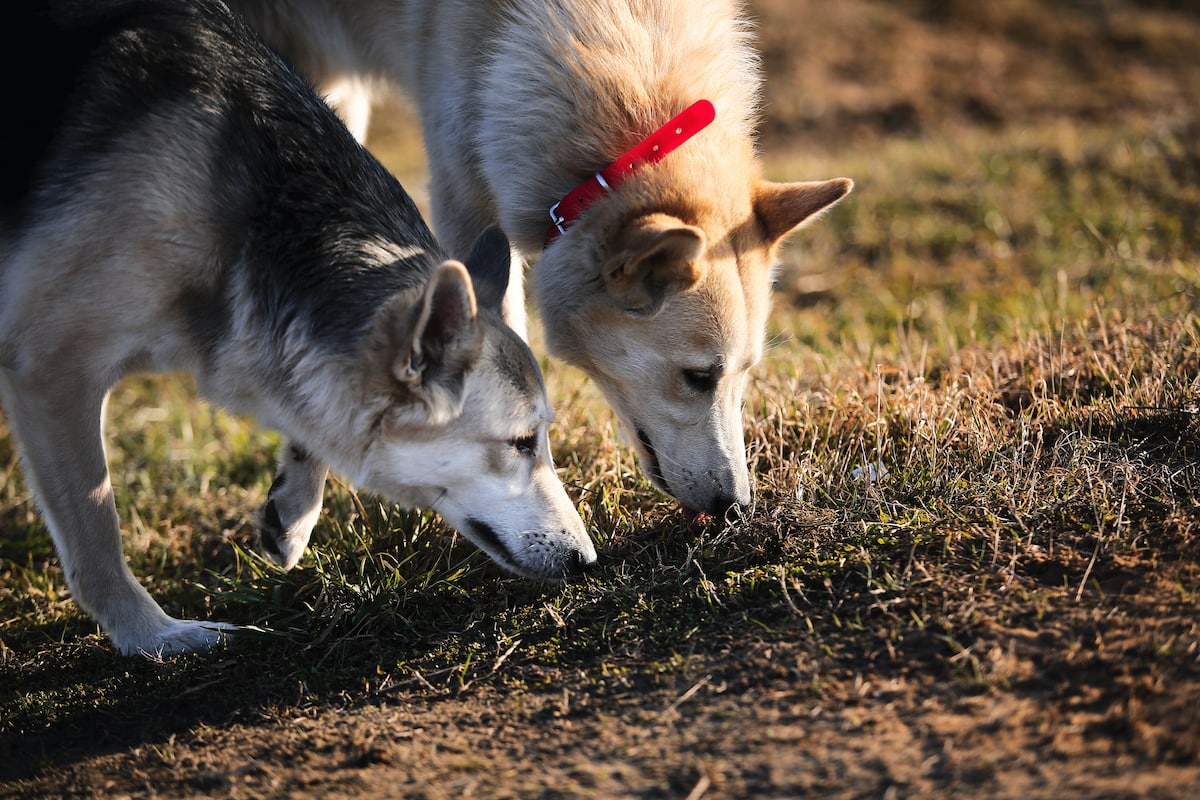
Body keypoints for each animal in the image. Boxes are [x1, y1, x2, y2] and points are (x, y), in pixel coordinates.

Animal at [0, 0, 595, 662]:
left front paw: (293, 509)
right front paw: (152, 637)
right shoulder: (50, 368)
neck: (252, 215)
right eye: (521, 443)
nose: (587, 562)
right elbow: (96, 530)